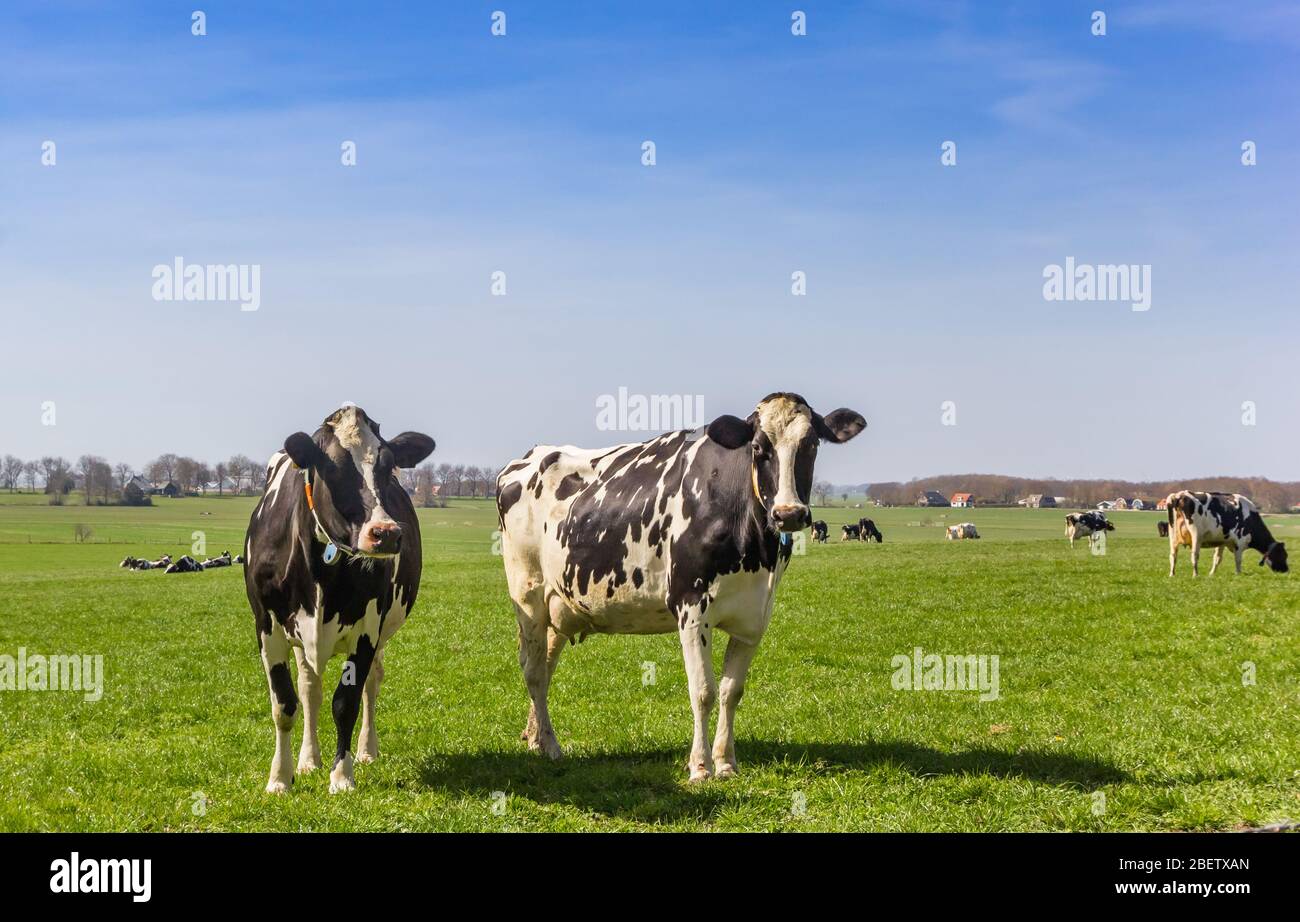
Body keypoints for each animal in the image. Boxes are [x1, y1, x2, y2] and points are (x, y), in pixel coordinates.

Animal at [243, 404, 435, 793]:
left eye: (389, 466)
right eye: (332, 467)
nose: (386, 533)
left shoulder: (368, 629)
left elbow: (346, 703)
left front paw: (342, 776)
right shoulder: (267, 627)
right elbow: (284, 704)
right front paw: (279, 778)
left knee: (371, 684)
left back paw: (366, 751)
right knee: (309, 690)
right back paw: (308, 759)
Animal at [496, 392, 865, 781]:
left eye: (811, 444)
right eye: (758, 447)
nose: (788, 513)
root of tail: (530, 455)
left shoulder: (754, 617)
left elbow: (731, 691)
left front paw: (726, 762)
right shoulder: (691, 608)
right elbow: (703, 691)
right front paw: (700, 766)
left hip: (560, 606)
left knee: (545, 665)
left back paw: (536, 738)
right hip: (528, 594)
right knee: (534, 671)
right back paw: (551, 746)